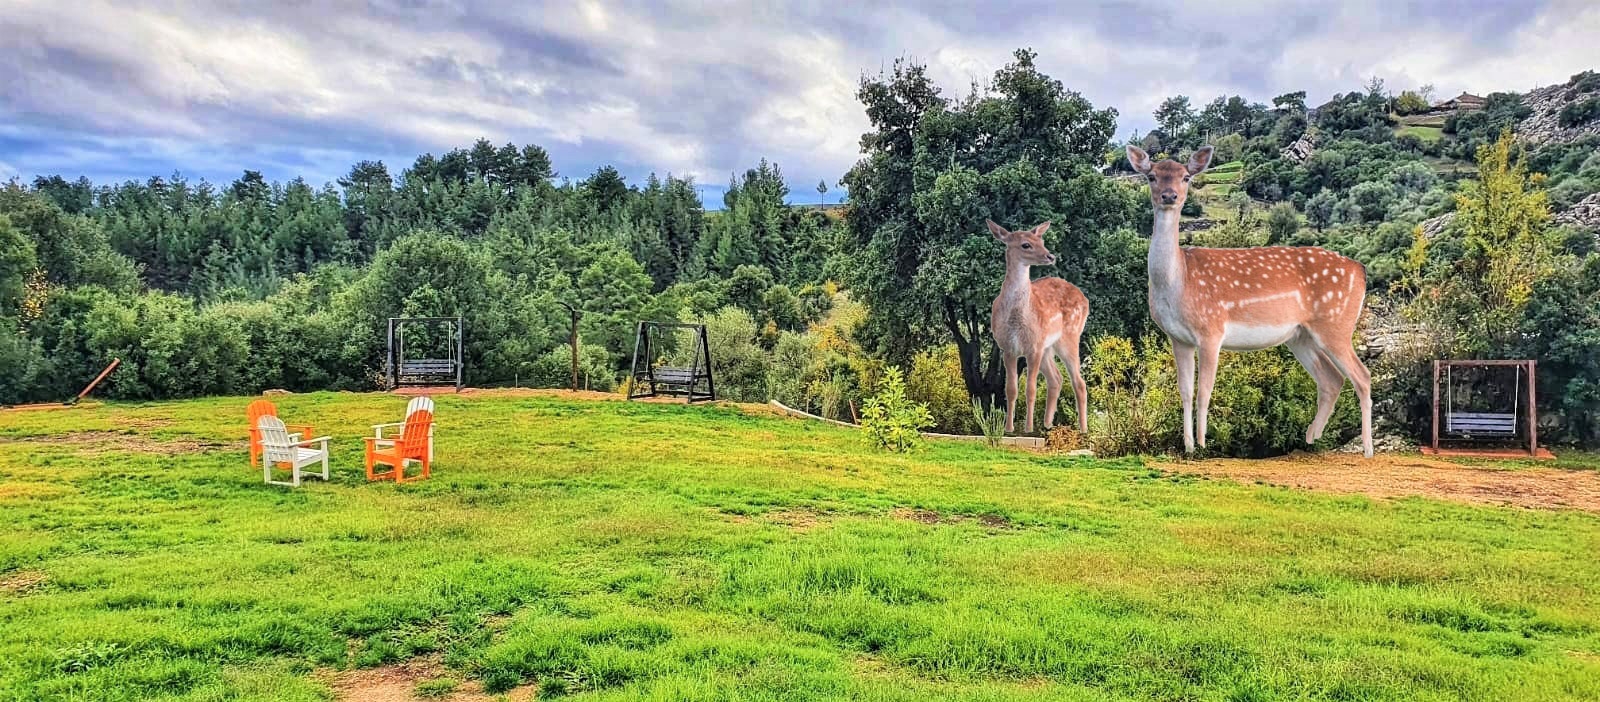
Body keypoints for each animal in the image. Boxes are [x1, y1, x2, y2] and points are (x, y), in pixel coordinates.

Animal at [979, 222, 1094, 438]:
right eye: (1026, 244)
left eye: (1041, 240)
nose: (1050, 256)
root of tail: (1085, 299)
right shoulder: (1008, 347)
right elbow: (1010, 389)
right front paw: (1008, 429)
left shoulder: (1033, 347)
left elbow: (1030, 389)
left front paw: (1028, 428)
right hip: (1048, 347)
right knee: (1056, 379)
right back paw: (1048, 426)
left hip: (1070, 336)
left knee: (1079, 382)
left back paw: (1083, 430)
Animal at [1126, 145, 1376, 460]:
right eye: (1152, 176)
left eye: (1185, 177)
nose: (1169, 196)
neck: (1178, 282)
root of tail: (1361, 270)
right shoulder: (1178, 337)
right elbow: (1184, 390)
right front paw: (1187, 446)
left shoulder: (1211, 329)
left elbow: (1204, 391)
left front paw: (1203, 445)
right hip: (1301, 336)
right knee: (1332, 380)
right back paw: (1310, 441)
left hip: (1336, 323)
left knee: (1362, 376)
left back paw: (1367, 449)